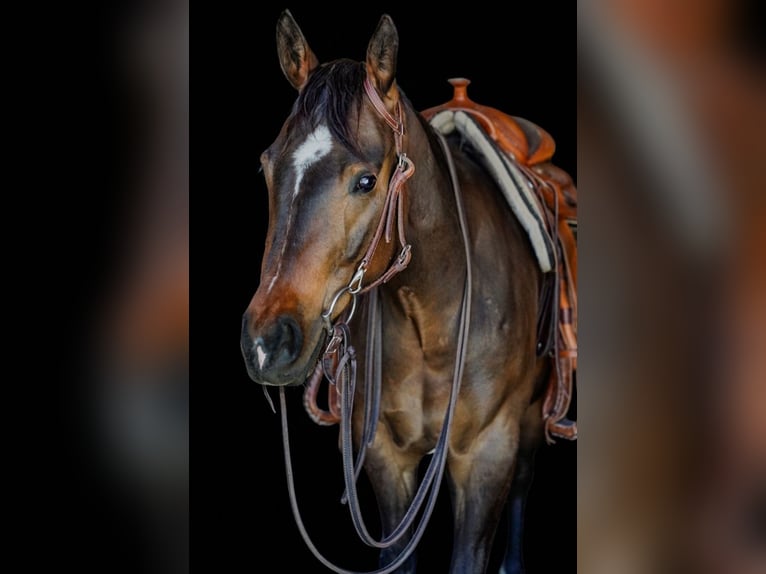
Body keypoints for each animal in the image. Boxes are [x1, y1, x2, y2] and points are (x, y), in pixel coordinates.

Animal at [241, 10, 575, 573]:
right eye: (267, 166)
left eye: (366, 181)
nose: (269, 341)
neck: (432, 315)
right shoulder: (385, 454)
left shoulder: (486, 455)